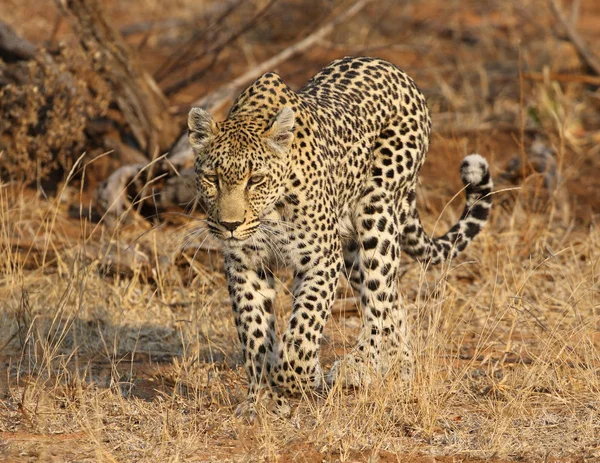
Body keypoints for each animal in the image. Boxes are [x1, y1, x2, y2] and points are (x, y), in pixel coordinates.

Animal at [188, 55, 492, 416]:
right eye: (211, 178)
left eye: (256, 180)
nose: (230, 224)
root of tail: (394, 70)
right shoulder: (245, 265)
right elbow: (254, 332)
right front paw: (259, 400)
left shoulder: (321, 259)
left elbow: (305, 326)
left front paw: (298, 379)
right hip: (351, 250)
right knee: (392, 299)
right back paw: (400, 368)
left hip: (376, 209)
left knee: (378, 300)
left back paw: (358, 367)